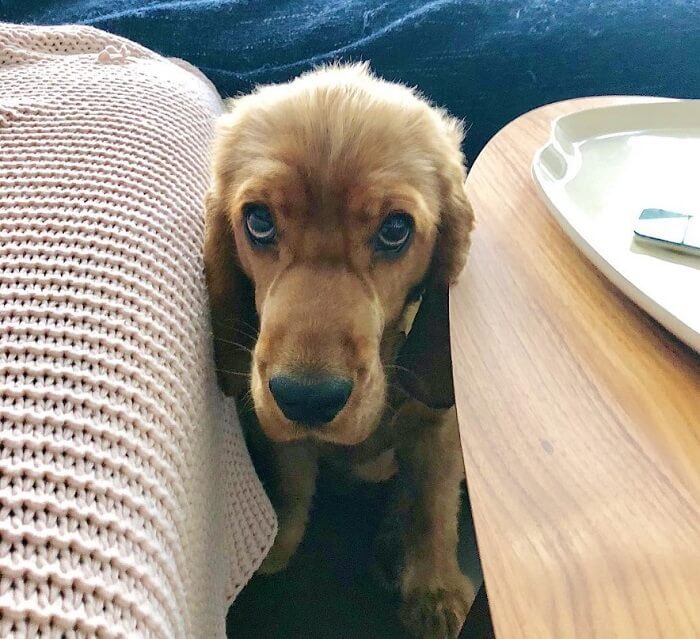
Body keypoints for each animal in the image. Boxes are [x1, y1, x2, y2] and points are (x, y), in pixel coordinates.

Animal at [202, 61, 476, 639]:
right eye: (258, 221)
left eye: (395, 229)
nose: (306, 399)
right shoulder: (276, 425)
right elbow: (292, 482)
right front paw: (275, 546)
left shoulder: (441, 426)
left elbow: (433, 502)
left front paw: (435, 591)